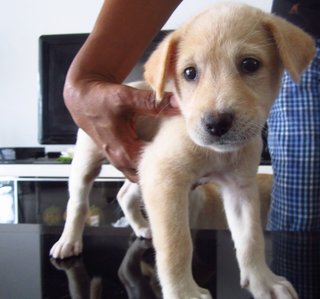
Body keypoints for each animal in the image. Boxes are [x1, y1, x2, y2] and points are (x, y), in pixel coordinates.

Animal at [50, 2, 316, 299]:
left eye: (250, 64)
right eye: (189, 73)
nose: (216, 123)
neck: (216, 153)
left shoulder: (239, 187)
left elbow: (251, 239)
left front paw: (263, 282)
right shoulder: (165, 180)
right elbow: (176, 245)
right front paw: (183, 292)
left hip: (142, 167)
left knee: (124, 195)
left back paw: (142, 228)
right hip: (89, 161)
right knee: (78, 203)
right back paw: (68, 242)